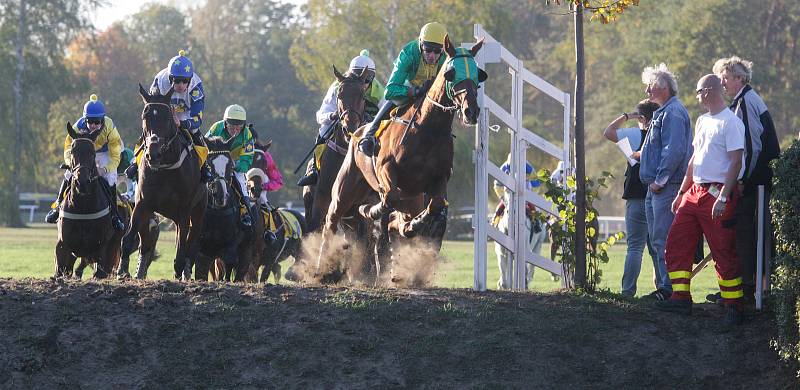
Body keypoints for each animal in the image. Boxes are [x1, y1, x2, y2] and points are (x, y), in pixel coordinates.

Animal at [123, 84, 206, 280]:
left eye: (168, 118)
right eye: (145, 117)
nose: (153, 154)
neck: (165, 168)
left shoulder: (184, 210)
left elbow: (181, 252)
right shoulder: (142, 203)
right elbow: (128, 240)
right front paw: (121, 272)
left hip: (197, 212)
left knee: (190, 245)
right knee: (146, 244)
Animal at [318, 38, 488, 284]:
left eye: (478, 75)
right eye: (451, 72)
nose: (470, 111)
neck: (428, 129)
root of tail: (356, 132)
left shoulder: (438, 180)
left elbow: (435, 205)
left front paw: (414, 224)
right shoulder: (387, 170)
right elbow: (388, 198)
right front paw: (373, 210)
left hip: (410, 198)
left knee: (394, 221)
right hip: (344, 189)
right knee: (331, 221)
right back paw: (321, 268)